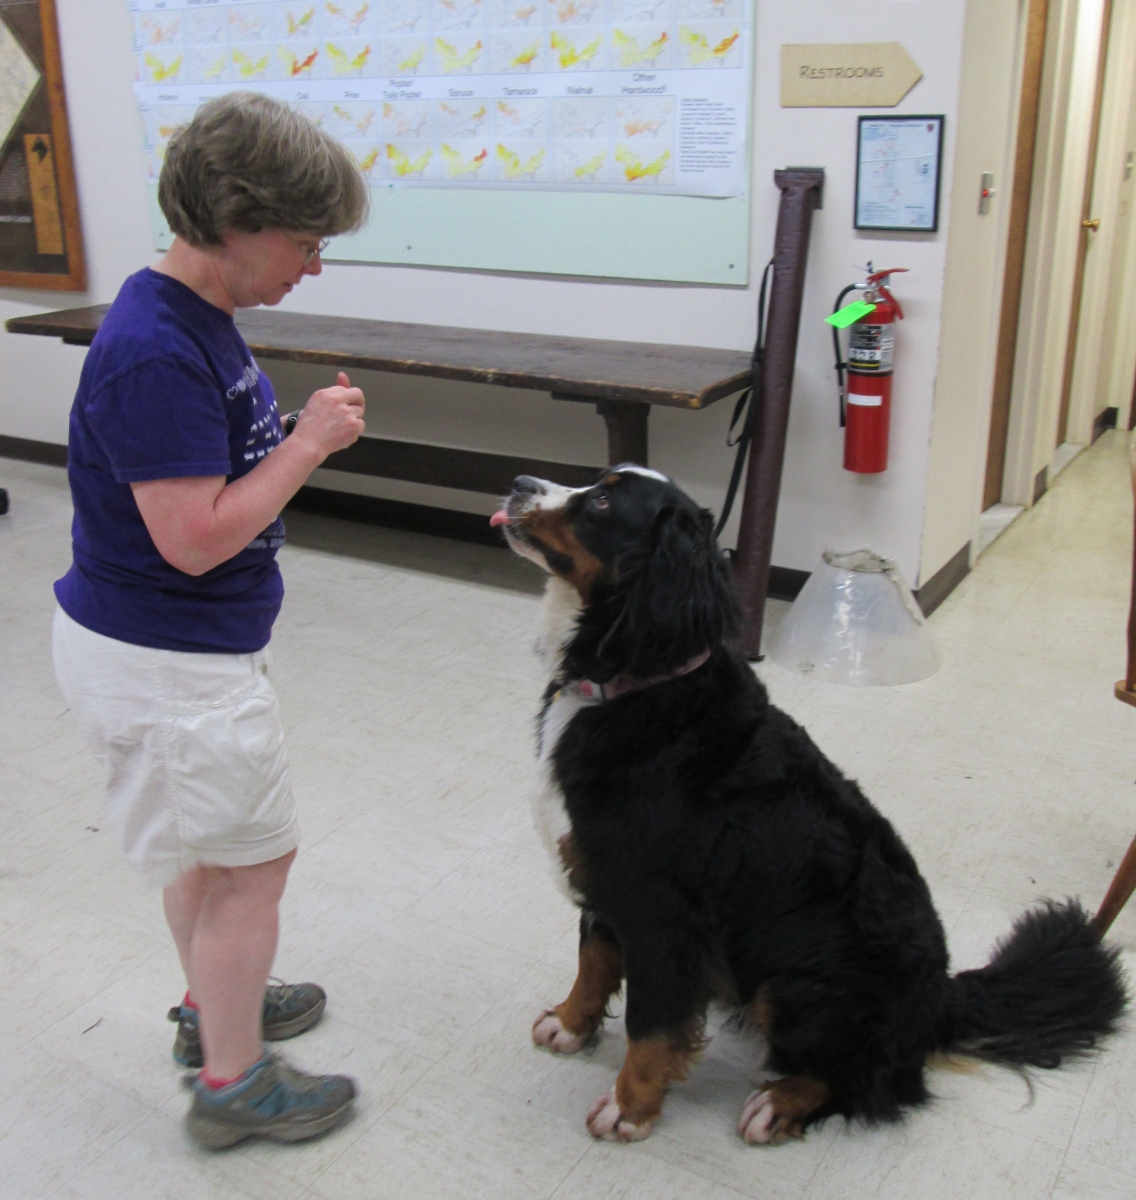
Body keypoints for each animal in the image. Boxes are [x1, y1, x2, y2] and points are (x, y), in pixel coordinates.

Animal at [489, 465, 1127, 1142]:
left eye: (604, 501)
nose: (520, 481)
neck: (639, 687)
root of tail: (941, 1000)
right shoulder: (602, 872)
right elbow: (593, 958)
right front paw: (569, 1023)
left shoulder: (662, 912)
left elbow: (652, 1025)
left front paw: (629, 1108)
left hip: (800, 982)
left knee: (872, 1082)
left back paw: (777, 1104)